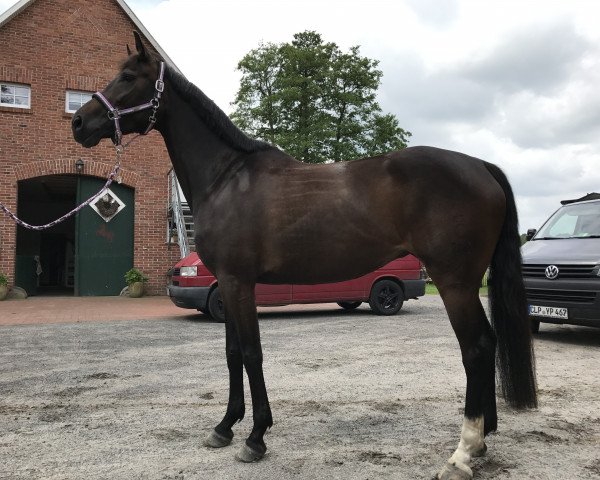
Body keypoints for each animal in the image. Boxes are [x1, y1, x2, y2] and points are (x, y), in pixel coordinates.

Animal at [72, 31, 536, 478]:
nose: (79, 121)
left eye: (128, 77)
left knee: (476, 347)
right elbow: (232, 354)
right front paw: (224, 427)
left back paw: (462, 453)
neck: (227, 178)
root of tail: (480, 165)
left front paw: (255, 437)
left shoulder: (239, 282)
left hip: (455, 282)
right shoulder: (227, 282)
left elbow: (252, 353)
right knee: (488, 342)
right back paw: (484, 439)